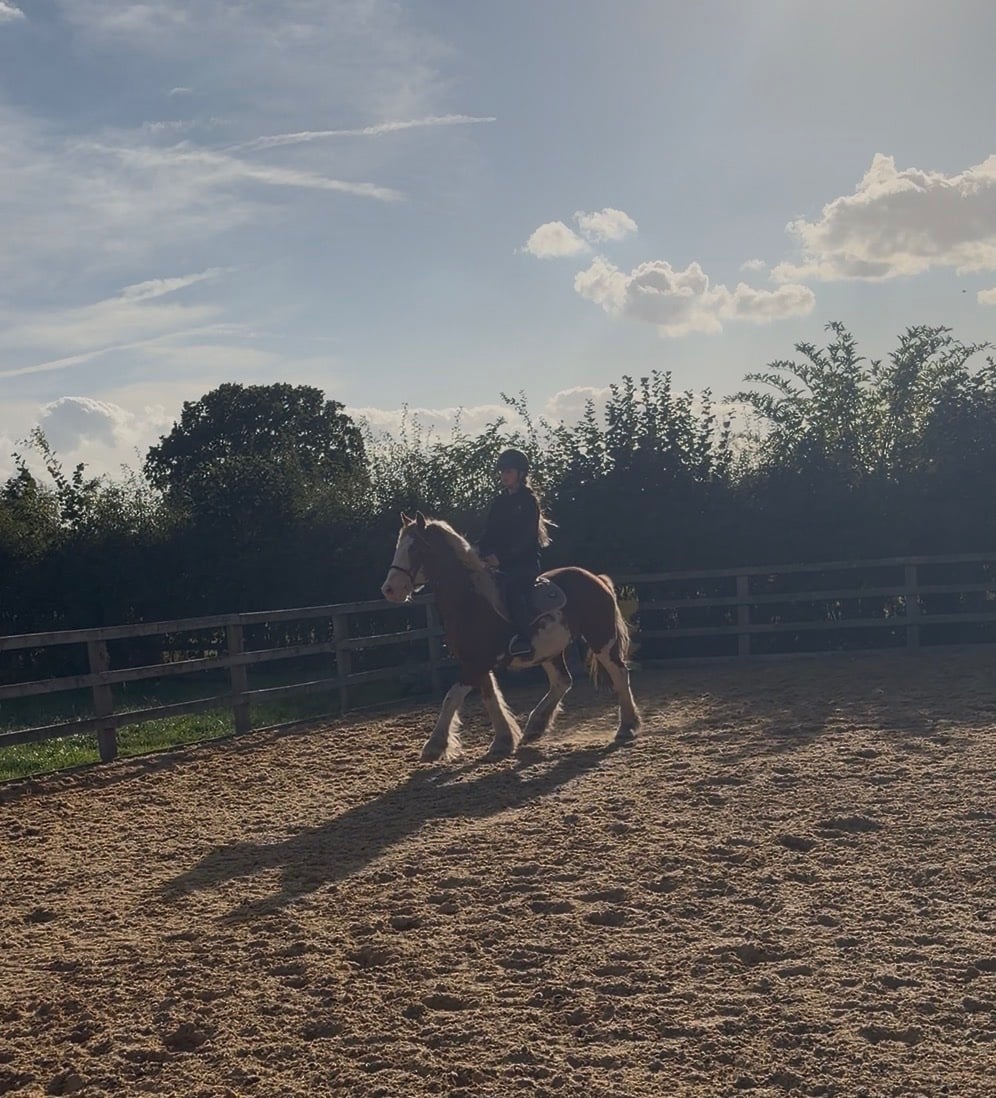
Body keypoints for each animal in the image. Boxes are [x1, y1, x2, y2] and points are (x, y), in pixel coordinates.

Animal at [381, 511, 641, 762]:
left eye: (415, 548)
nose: (389, 590)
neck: (471, 600)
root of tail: (596, 579)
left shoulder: (475, 663)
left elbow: (451, 698)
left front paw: (434, 746)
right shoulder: (477, 663)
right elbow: (490, 699)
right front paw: (503, 741)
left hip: (601, 639)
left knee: (619, 673)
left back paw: (627, 726)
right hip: (550, 651)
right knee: (562, 681)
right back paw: (535, 727)